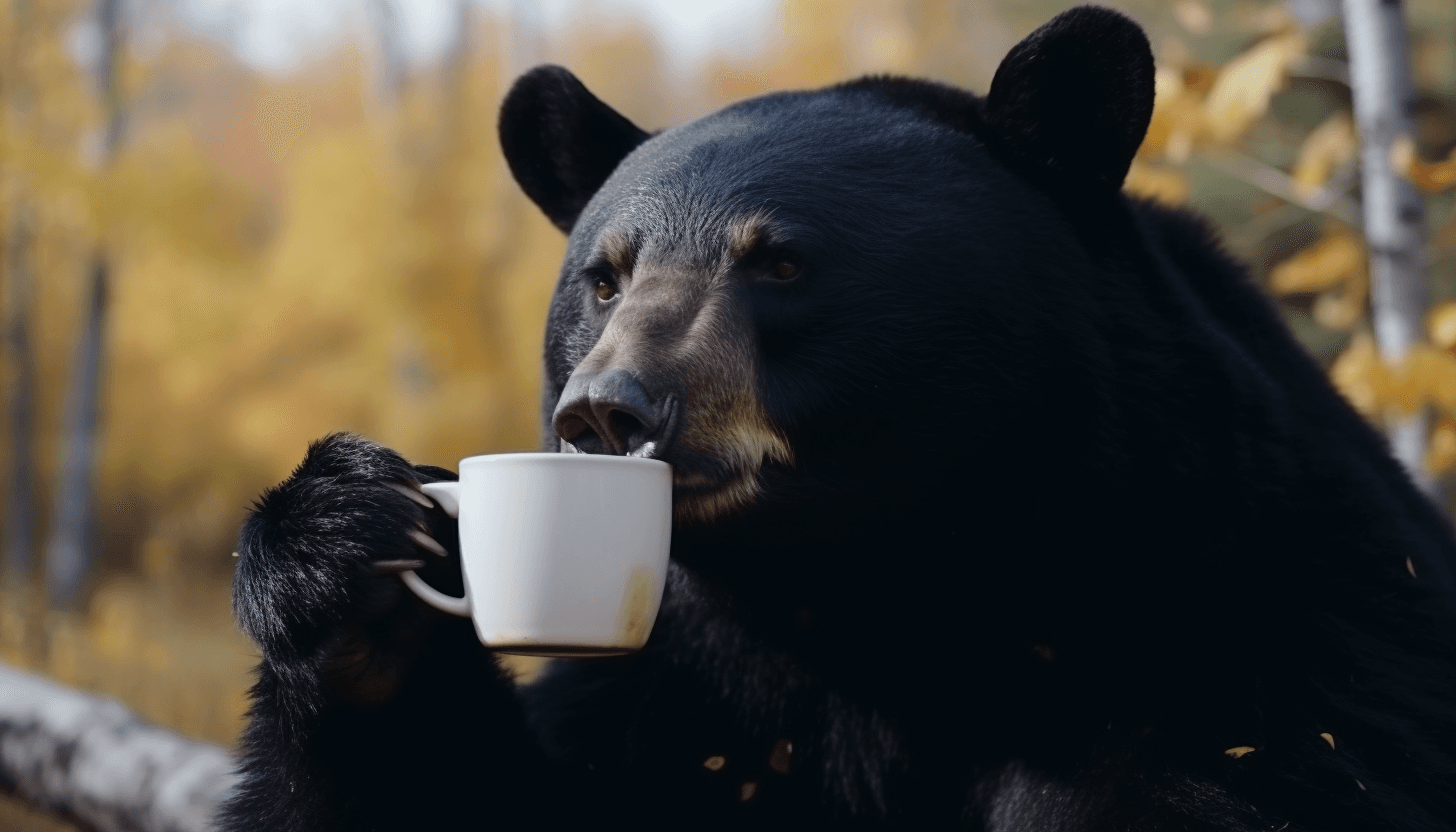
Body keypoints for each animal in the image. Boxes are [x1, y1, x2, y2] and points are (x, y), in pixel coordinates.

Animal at [219, 6, 1456, 831]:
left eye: (779, 262)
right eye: (604, 279)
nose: (603, 412)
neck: (877, 598)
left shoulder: (1261, 654)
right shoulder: (698, 697)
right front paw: (347, 557)